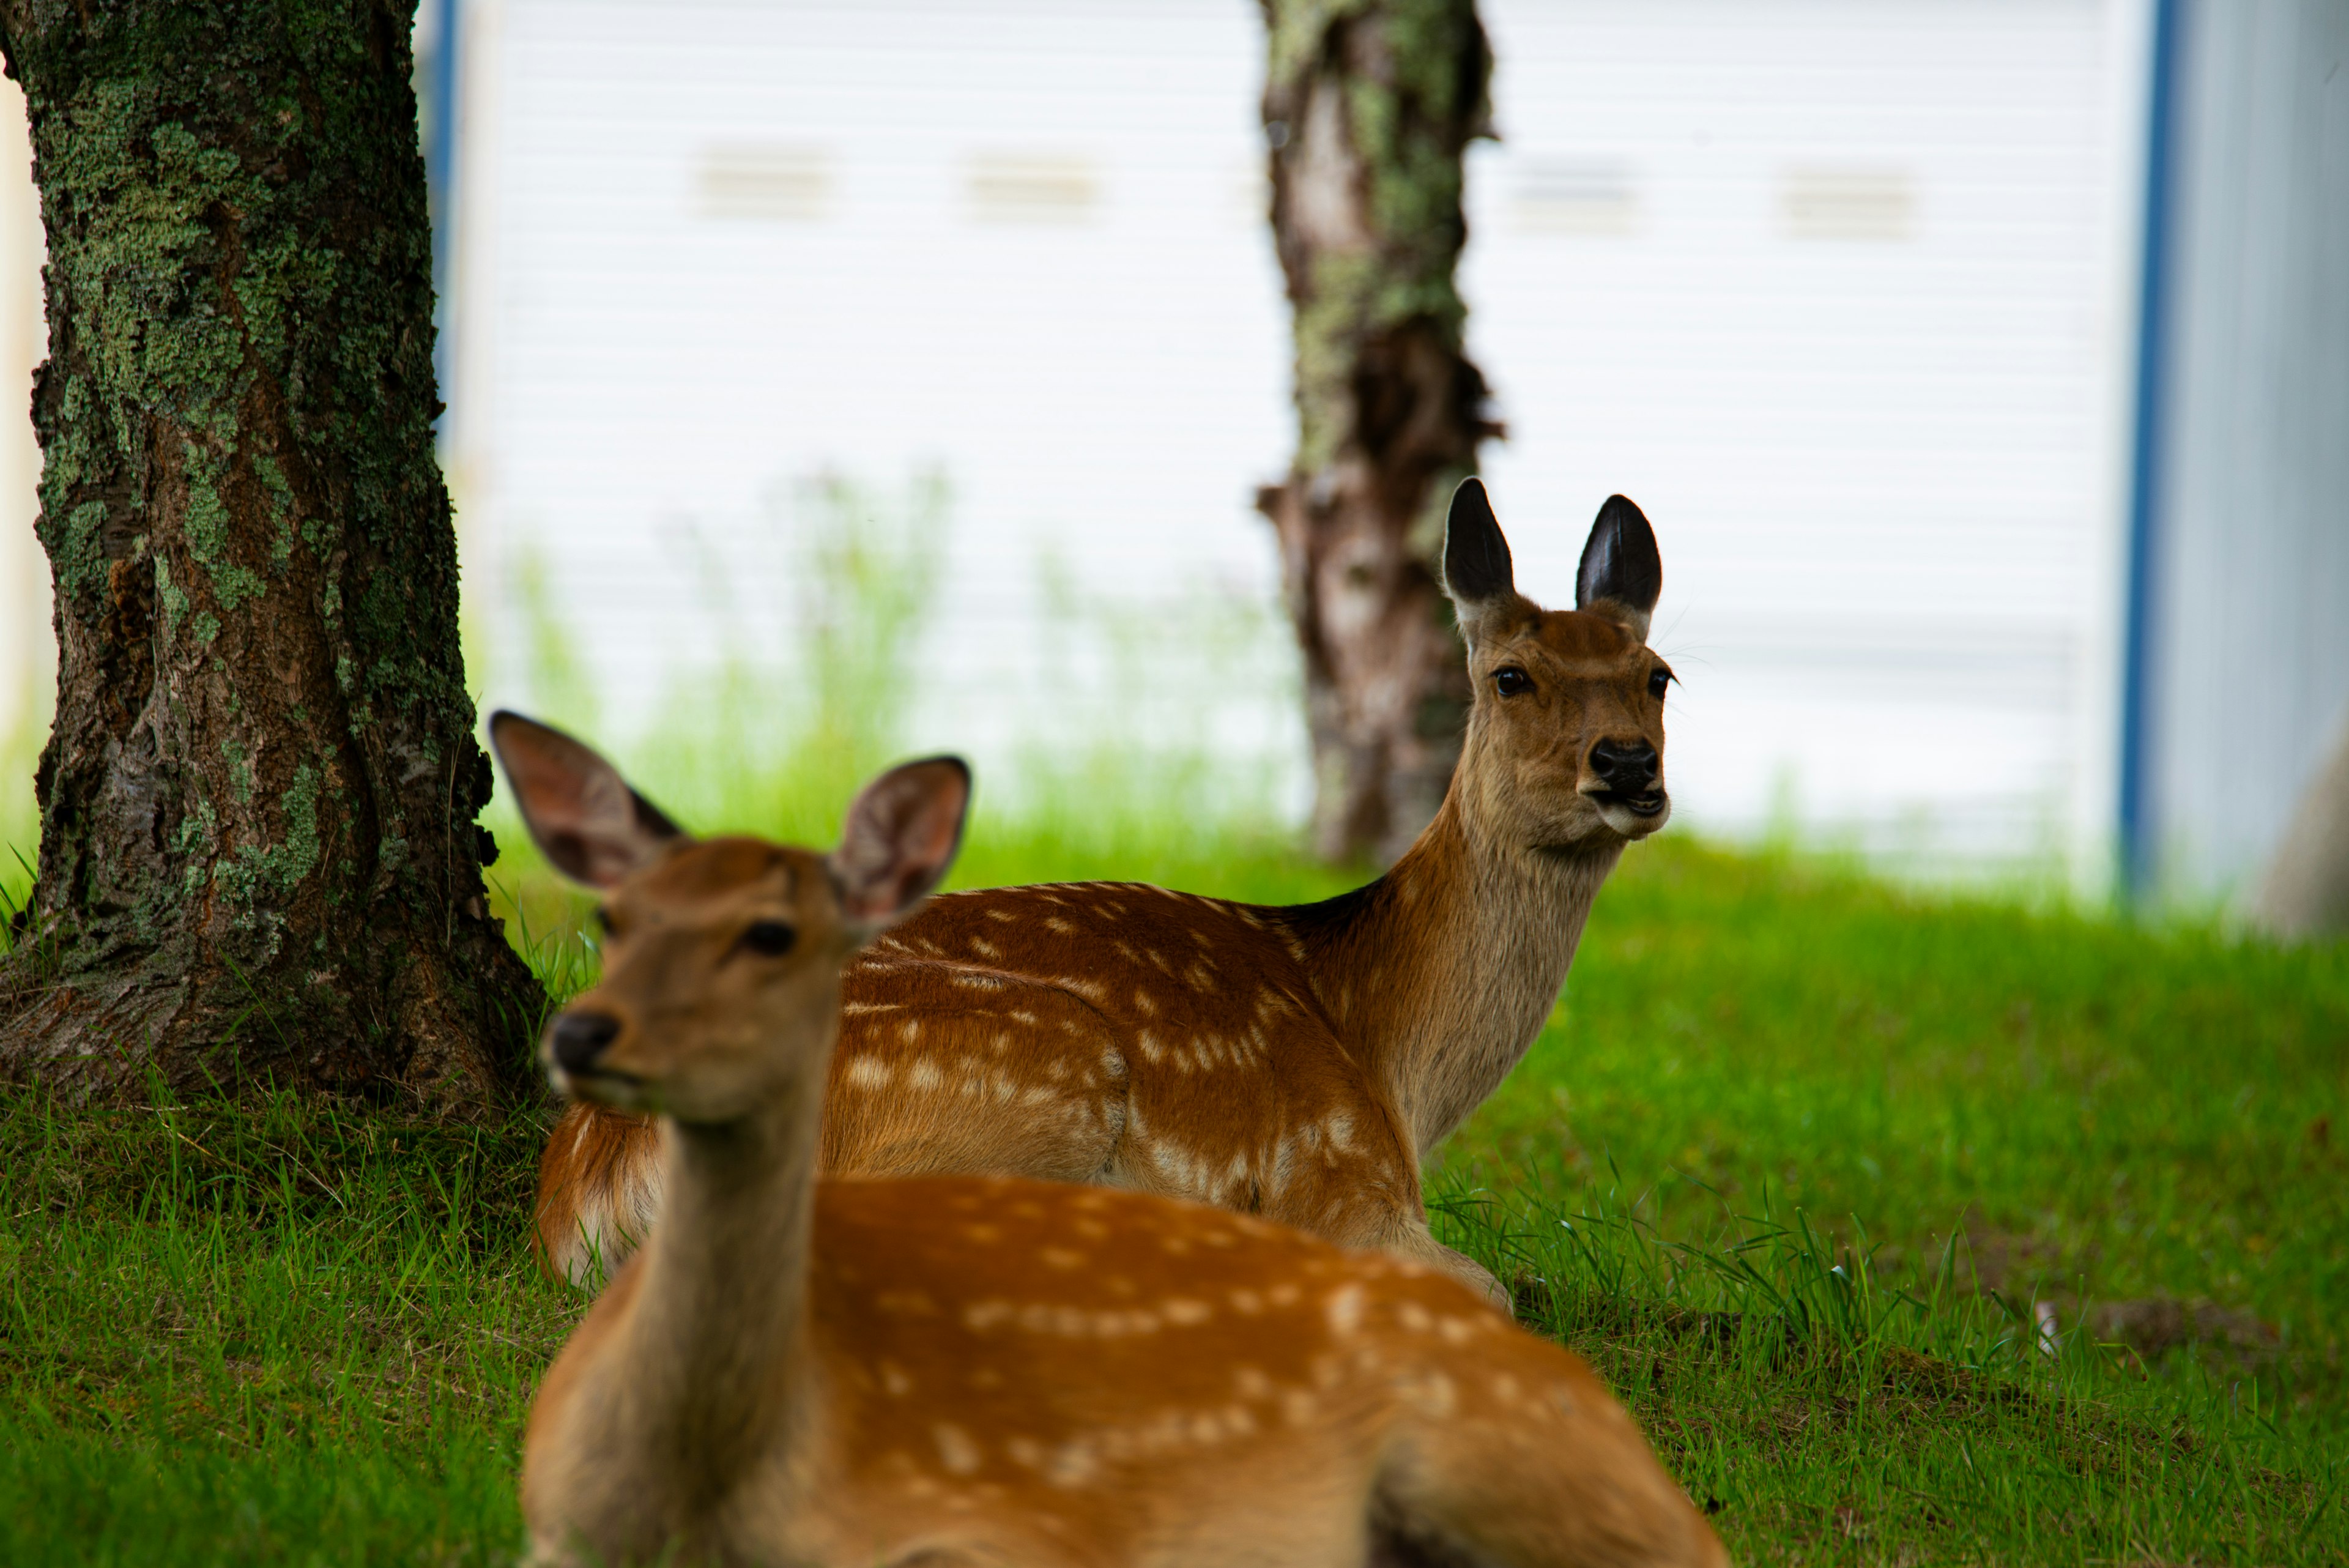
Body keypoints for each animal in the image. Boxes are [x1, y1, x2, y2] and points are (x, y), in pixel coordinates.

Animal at [510, 475, 1672, 1298]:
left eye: (1658, 677)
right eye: (1511, 676)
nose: (1627, 764)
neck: (1389, 1056)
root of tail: (586, 1186)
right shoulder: (1338, 1173)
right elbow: (1492, 1289)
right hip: (1042, 1064)